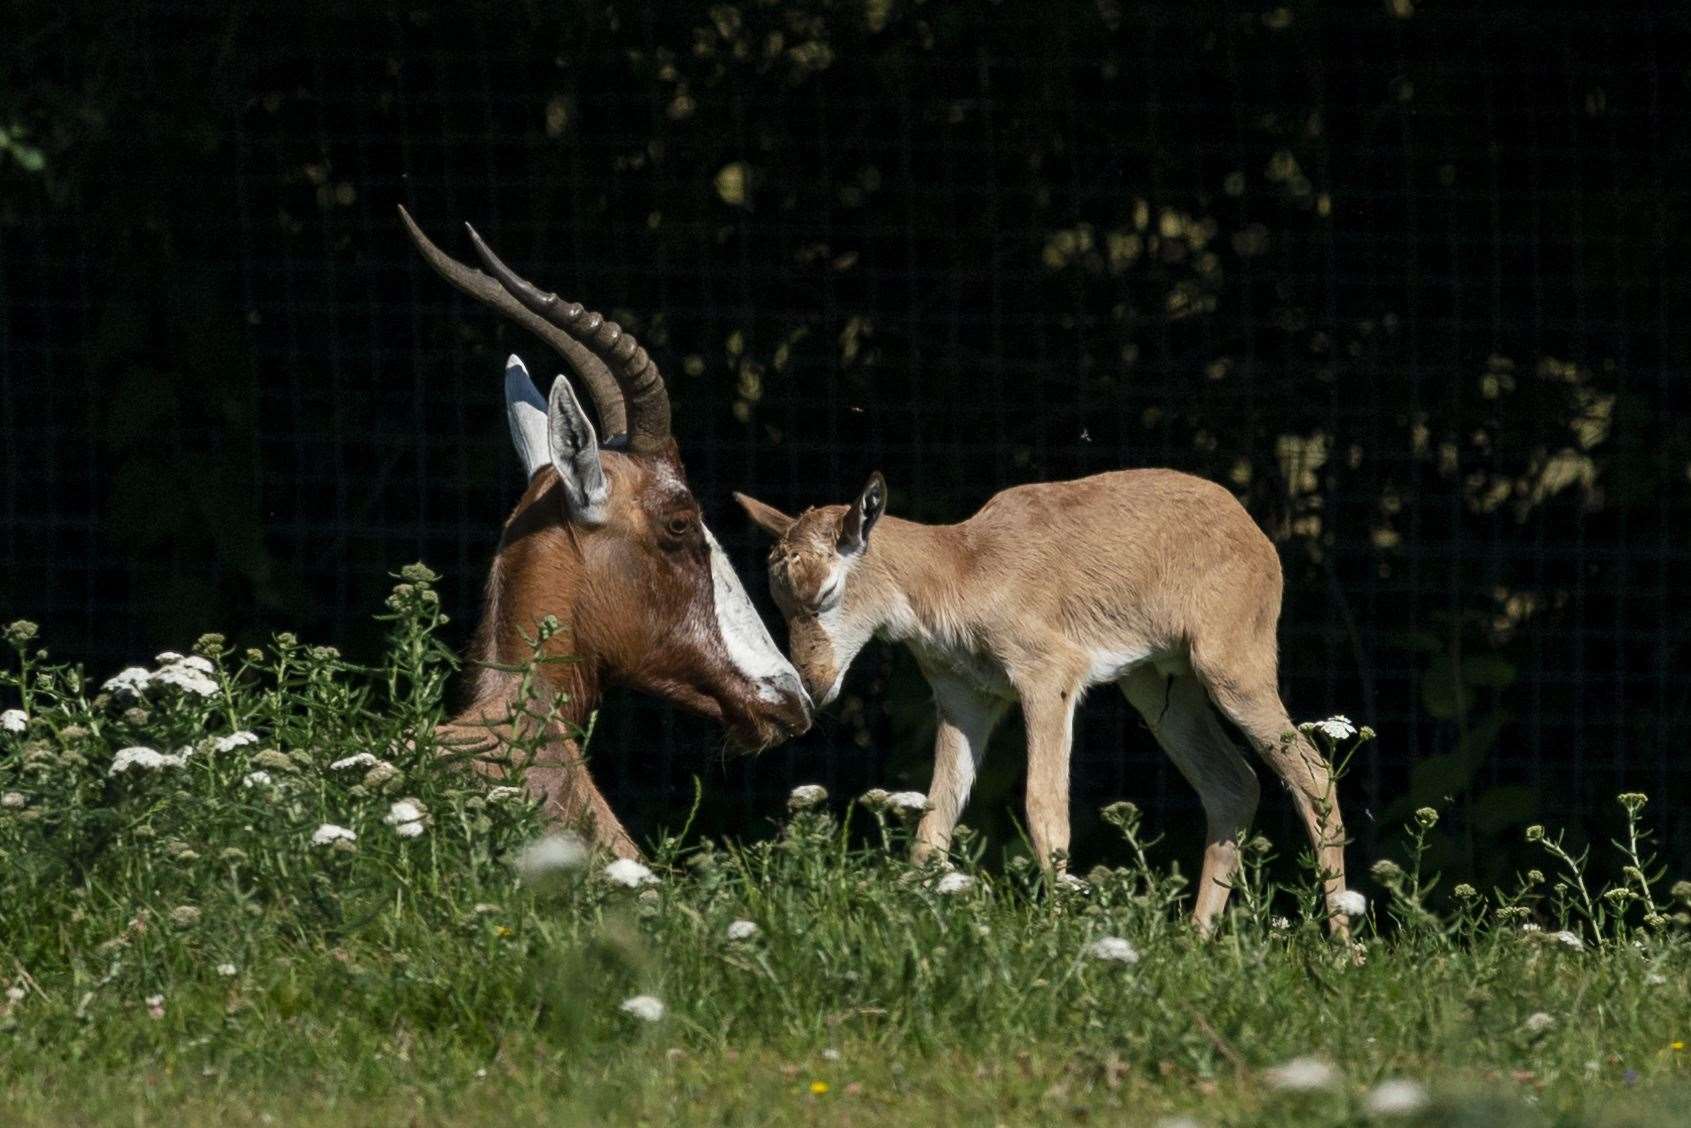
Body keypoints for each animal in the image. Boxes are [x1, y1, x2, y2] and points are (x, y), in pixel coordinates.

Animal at [733, 470, 1352, 933]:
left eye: (826, 590)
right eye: (777, 600)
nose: (810, 686)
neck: (962, 565)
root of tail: (1254, 533)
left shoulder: (1049, 681)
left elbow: (1044, 809)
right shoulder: (965, 702)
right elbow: (935, 822)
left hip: (1234, 676)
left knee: (1313, 774)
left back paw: (1343, 950)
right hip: (1158, 691)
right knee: (1234, 784)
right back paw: (1196, 940)